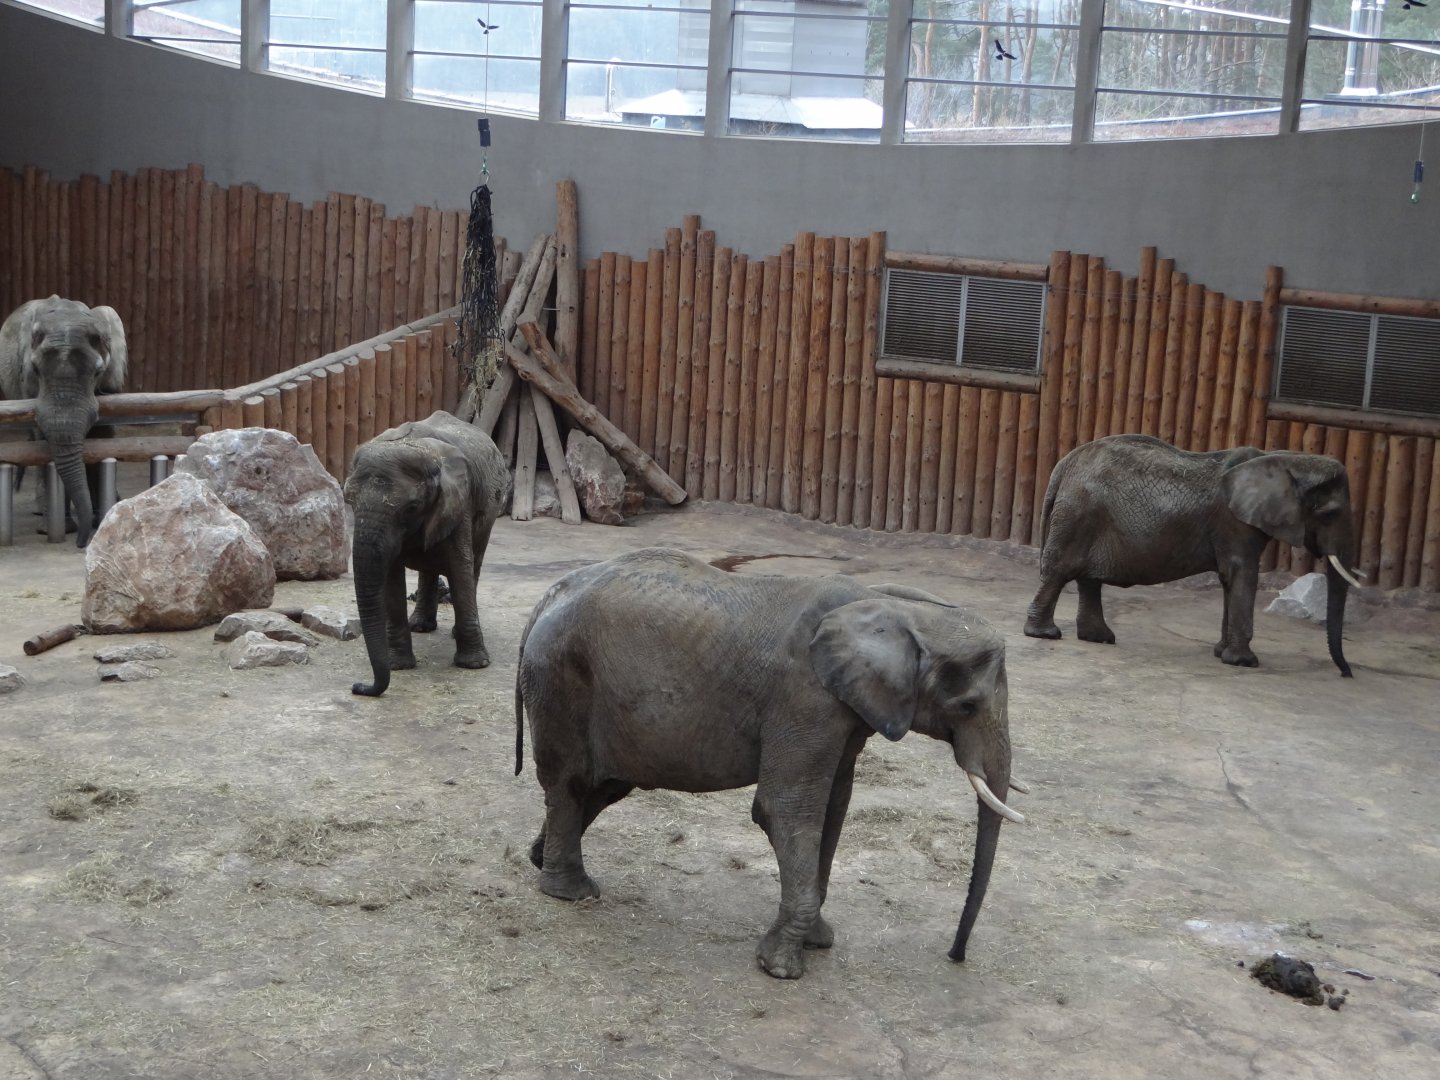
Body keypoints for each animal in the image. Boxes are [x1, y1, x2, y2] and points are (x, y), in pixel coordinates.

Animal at [0, 296, 128, 547]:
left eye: (98, 372)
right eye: (35, 370)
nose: (81, 544)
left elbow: (103, 437)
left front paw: (102, 521)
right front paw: (63, 529)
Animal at [344, 410, 511, 697]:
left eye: (412, 507)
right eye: (348, 500)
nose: (357, 686)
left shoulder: (459, 502)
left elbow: (460, 567)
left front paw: (474, 665)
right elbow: (391, 579)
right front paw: (399, 666)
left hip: (489, 513)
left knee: (474, 563)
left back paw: (451, 632)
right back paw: (420, 627)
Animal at [514, 547, 1025, 980]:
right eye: (967, 706)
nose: (954, 955)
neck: (889, 605)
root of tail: (549, 595)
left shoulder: (844, 709)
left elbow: (834, 807)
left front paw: (817, 941)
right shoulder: (804, 696)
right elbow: (786, 809)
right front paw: (781, 968)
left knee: (603, 786)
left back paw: (540, 860)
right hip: (560, 673)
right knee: (572, 781)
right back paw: (572, 893)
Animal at [1023, 434, 1364, 676]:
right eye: (1330, 514)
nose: (1346, 674)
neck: (1288, 460)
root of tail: (1065, 464)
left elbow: (1230, 579)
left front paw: (1221, 653)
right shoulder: (1233, 522)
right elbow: (1242, 574)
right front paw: (1243, 663)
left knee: (1087, 578)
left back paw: (1099, 638)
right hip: (1077, 514)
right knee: (1059, 572)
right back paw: (1046, 635)